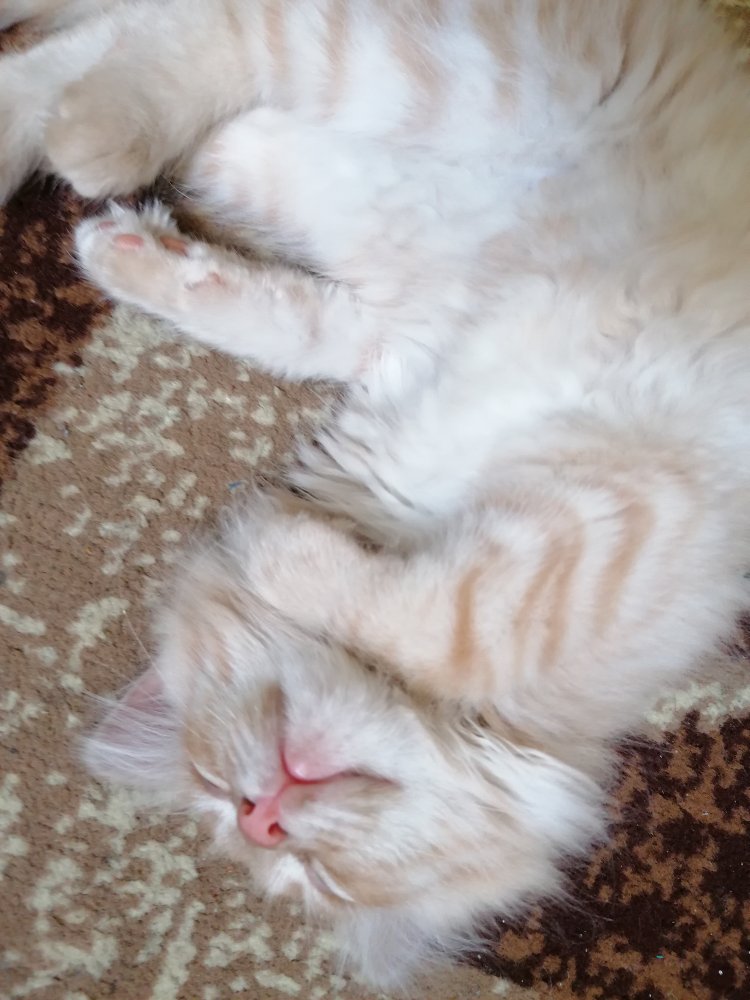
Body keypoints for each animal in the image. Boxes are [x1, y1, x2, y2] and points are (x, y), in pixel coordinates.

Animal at [1, 0, 749, 988]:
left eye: (317, 878)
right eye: (226, 798)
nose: (264, 815)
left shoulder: (611, 522)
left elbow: (428, 625)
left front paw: (271, 534)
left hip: (407, 87)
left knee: (141, 42)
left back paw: (80, 138)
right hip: (417, 73)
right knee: (176, 38)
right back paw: (90, 138)